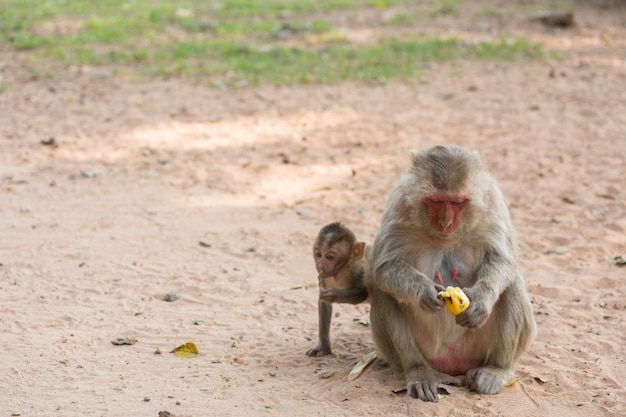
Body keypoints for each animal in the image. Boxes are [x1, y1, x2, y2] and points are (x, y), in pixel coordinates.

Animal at [304, 223, 368, 356]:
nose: (320, 265)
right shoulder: (324, 276)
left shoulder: (358, 269)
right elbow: (324, 303)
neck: (339, 272)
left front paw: (333, 295)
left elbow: (363, 293)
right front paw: (323, 346)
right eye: (318, 255)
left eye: (330, 257)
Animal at [368, 145, 532, 400]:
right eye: (436, 201)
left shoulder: (493, 201)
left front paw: (481, 302)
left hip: (475, 349)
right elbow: (383, 267)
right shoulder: (399, 203)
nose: (445, 223)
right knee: (384, 292)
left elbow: (502, 260)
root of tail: (452, 363)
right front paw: (423, 291)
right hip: (423, 352)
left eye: (457, 202)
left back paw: (496, 370)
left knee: (511, 286)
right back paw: (419, 371)